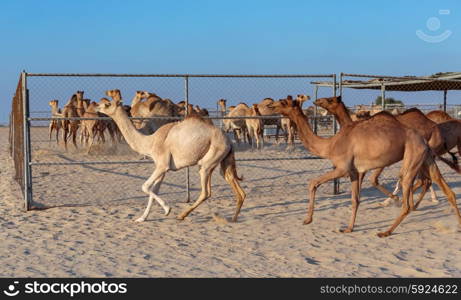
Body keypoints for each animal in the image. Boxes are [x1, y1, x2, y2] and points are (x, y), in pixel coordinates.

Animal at [266, 96, 460, 237]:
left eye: (282, 102)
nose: (269, 105)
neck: (329, 145)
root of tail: (424, 138)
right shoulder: (354, 172)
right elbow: (355, 199)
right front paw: (348, 228)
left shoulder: (342, 168)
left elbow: (313, 182)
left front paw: (307, 220)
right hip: (426, 158)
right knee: (445, 189)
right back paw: (457, 225)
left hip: (412, 159)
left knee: (407, 197)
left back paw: (385, 231)